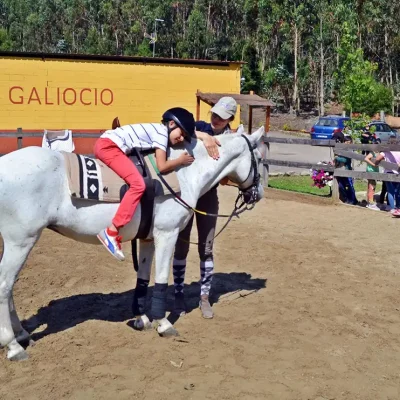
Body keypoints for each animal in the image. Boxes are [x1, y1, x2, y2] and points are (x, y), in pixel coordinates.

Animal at [0, 125, 266, 360]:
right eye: (261, 158)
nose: (257, 194)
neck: (184, 173)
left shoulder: (147, 238)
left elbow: (144, 278)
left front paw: (142, 319)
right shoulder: (166, 234)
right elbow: (161, 278)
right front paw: (163, 323)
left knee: (10, 287)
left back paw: (23, 334)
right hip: (21, 242)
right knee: (5, 285)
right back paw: (14, 346)